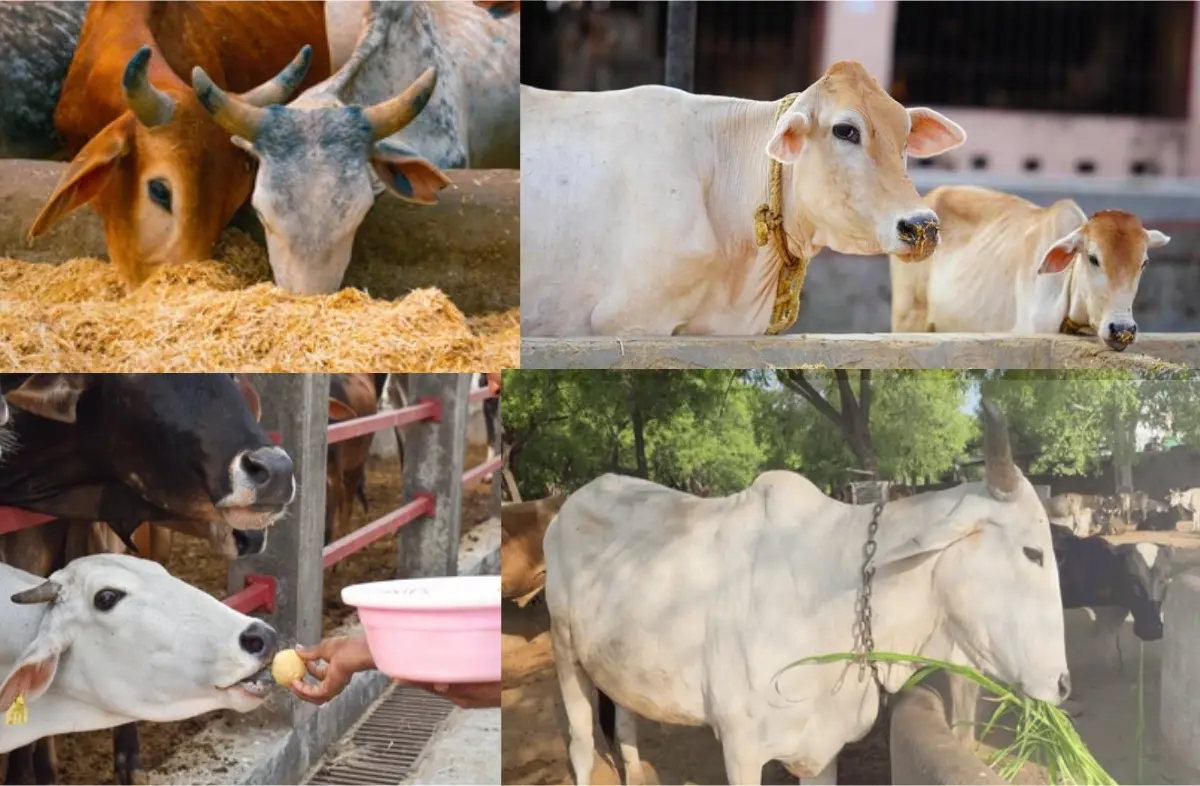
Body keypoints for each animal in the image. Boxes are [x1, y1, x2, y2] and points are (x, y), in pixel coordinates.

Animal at [543, 401, 1068, 785]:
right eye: (1033, 552)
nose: (1061, 684)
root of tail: (571, 502)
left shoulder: (821, 751)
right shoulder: (741, 749)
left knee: (625, 725)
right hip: (565, 652)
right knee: (581, 744)